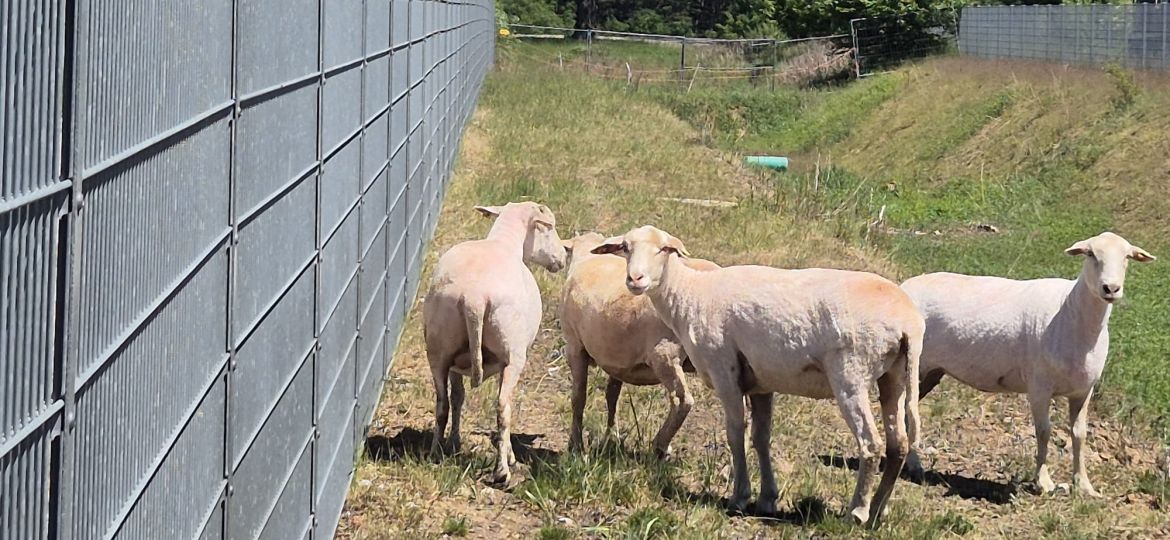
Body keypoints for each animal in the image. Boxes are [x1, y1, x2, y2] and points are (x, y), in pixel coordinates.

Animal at [423, 201, 567, 484]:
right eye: (549, 228)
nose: (563, 257)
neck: (505, 241)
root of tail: (474, 297)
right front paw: (509, 454)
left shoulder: (456, 366)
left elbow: (458, 397)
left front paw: (454, 442)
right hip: (513, 354)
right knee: (503, 408)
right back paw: (502, 471)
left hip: (438, 350)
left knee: (441, 403)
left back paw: (435, 453)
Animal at [559, 232, 720, 457]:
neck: (586, 258)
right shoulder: (618, 360)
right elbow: (612, 395)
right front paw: (612, 435)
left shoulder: (575, 346)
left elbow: (578, 397)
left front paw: (575, 445)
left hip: (664, 353)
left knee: (682, 400)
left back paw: (661, 446)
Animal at [592, 226, 924, 525]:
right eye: (625, 247)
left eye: (664, 249)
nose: (635, 280)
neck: (690, 295)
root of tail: (908, 322)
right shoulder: (760, 383)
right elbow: (762, 437)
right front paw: (767, 499)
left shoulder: (724, 369)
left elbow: (735, 432)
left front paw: (739, 497)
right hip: (894, 377)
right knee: (898, 446)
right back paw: (878, 511)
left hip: (851, 373)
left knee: (871, 444)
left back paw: (856, 512)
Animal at [902, 231, 1155, 496]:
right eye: (1091, 254)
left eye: (1126, 257)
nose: (1111, 288)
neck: (1071, 312)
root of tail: (902, 286)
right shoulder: (1039, 386)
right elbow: (1044, 431)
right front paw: (1044, 482)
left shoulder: (1083, 390)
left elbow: (1079, 435)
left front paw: (1084, 485)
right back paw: (913, 465)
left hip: (930, 371)